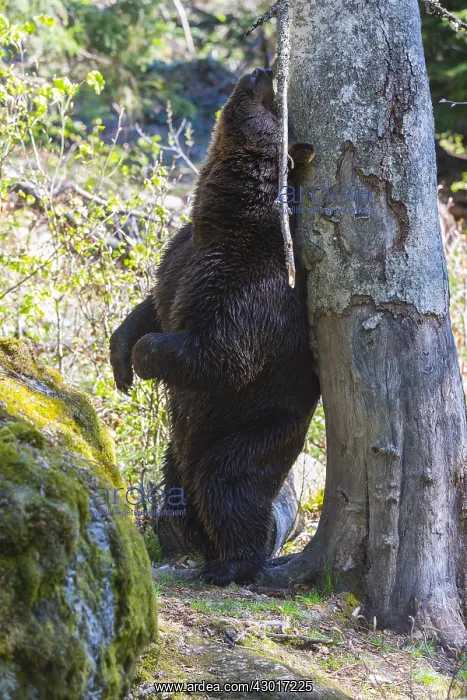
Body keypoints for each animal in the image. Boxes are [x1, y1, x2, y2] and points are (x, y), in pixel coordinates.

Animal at [110, 67, 320, 585]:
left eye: (276, 110)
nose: (264, 72)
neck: (224, 221)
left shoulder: (250, 294)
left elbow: (221, 355)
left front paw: (144, 359)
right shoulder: (182, 257)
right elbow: (152, 304)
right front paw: (121, 362)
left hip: (251, 432)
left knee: (228, 486)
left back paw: (231, 563)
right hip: (178, 449)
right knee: (179, 488)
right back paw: (190, 545)